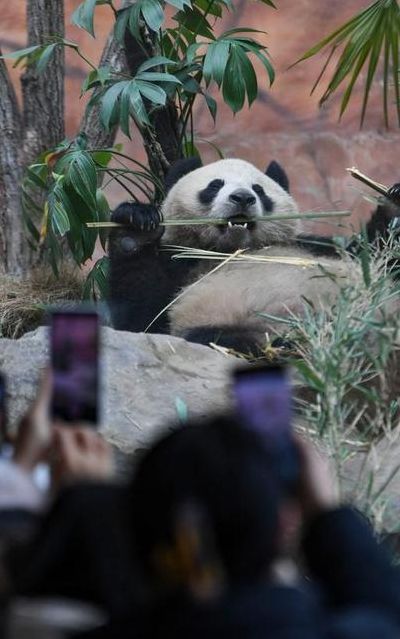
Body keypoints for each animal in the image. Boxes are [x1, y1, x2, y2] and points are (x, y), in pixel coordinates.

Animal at [108, 157, 398, 352]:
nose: (242, 197)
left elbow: (374, 254)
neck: (232, 249)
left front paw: (393, 201)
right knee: (218, 337)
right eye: (215, 185)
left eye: (259, 189)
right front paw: (134, 227)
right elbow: (143, 318)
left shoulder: (311, 244)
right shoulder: (180, 262)